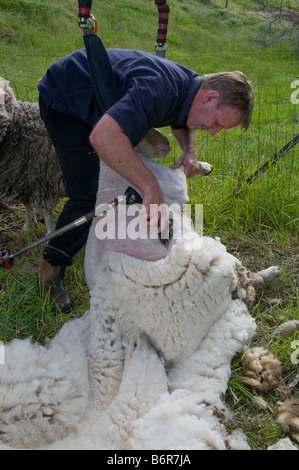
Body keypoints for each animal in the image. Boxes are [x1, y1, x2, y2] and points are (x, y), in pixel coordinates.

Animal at [0, 76, 65, 235]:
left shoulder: (41, 182)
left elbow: (46, 213)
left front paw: (50, 234)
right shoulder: (22, 180)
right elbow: (27, 205)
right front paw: (29, 226)